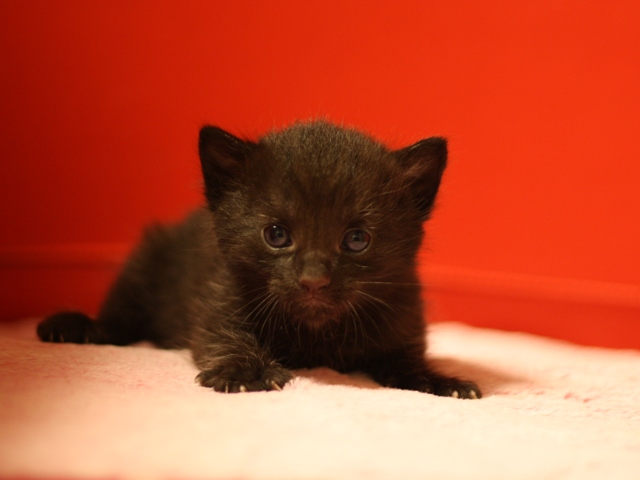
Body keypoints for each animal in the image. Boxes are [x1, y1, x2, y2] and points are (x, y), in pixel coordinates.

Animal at [37, 122, 480, 400]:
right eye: (276, 235)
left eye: (357, 239)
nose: (313, 280)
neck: (315, 334)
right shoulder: (220, 297)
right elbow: (225, 336)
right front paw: (245, 371)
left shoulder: (402, 317)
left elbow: (405, 362)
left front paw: (440, 381)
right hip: (144, 262)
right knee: (119, 320)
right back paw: (74, 327)